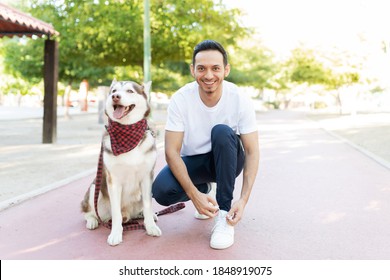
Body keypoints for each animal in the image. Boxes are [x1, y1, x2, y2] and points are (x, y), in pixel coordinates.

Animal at [80, 79, 161, 245]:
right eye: (114, 91)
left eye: (130, 91)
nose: (115, 97)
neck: (128, 133)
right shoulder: (113, 181)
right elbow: (116, 212)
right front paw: (116, 233)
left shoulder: (147, 178)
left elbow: (148, 205)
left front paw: (150, 226)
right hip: (94, 188)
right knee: (90, 211)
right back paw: (92, 220)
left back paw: (144, 215)